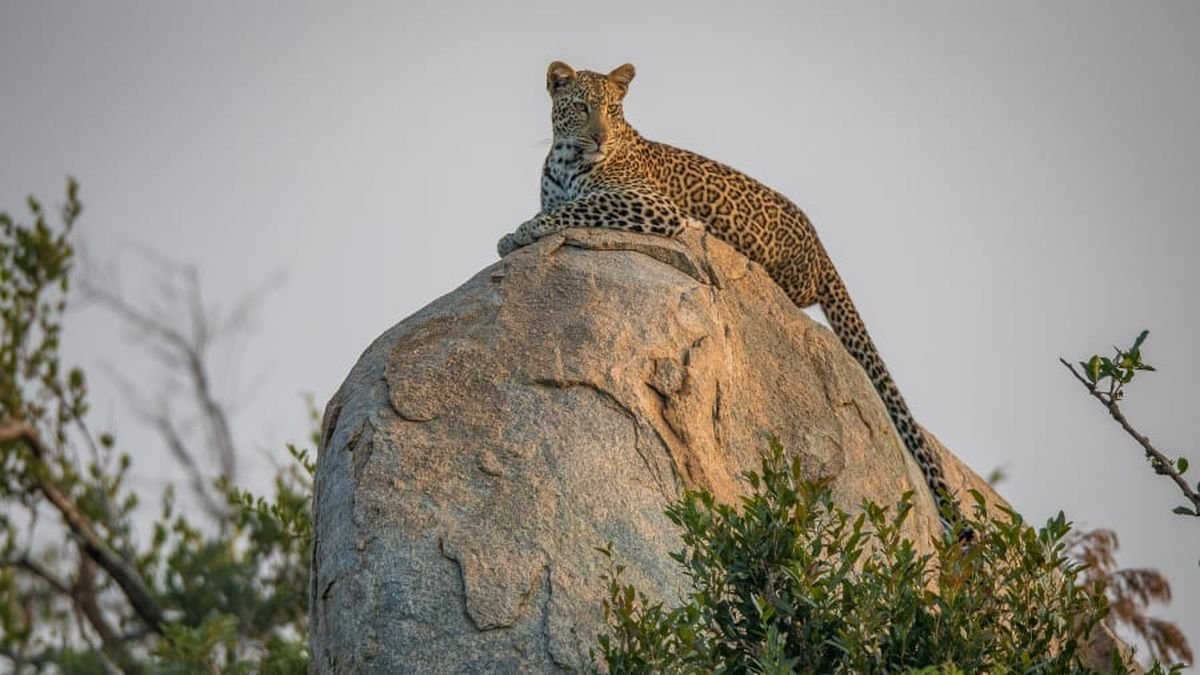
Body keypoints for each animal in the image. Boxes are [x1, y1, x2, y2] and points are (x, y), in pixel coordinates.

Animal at [496, 61, 974, 540]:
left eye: (613, 110)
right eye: (582, 107)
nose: (600, 138)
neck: (566, 160)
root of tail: (820, 249)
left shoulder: (649, 203)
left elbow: (575, 208)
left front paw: (520, 232)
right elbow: (563, 206)